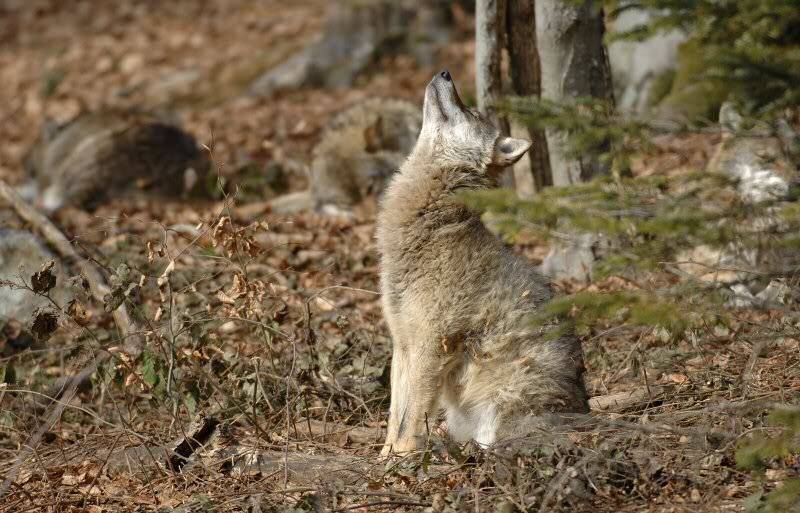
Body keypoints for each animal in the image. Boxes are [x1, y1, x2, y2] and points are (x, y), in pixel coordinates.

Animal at [376, 70, 588, 454]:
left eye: (471, 113)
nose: (445, 72)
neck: (433, 227)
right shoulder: (402, 343)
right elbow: (394, 416)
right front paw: (384, 457)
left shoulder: (433, 345)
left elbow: (410, 418)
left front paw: (402, 458)